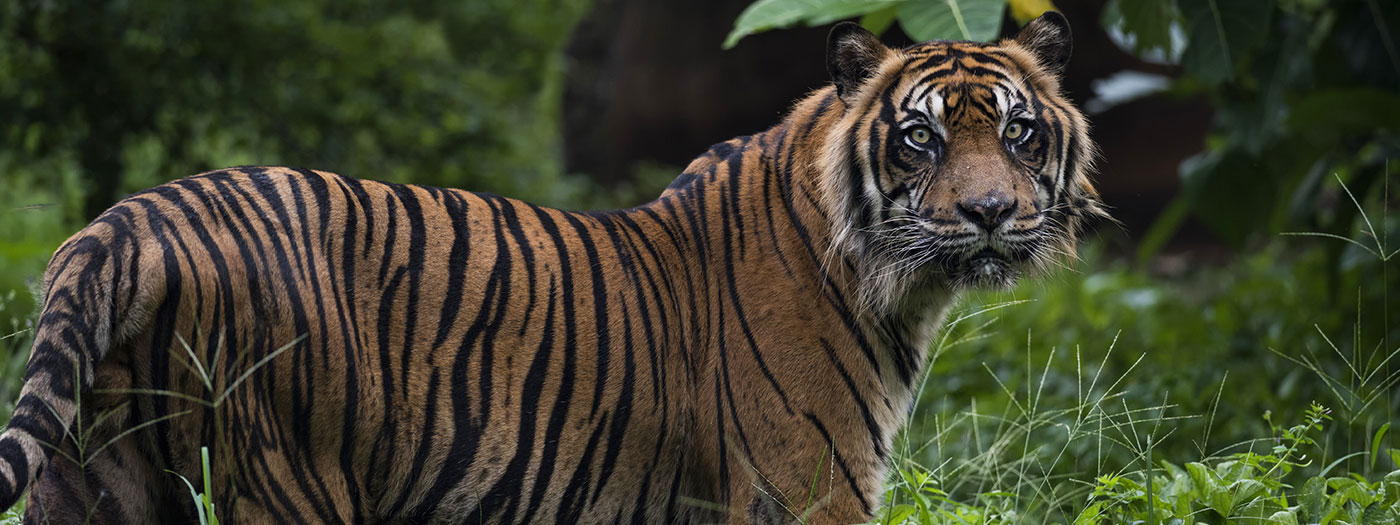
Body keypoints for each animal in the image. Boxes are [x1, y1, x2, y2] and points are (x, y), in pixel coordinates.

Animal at [0, 12, 1102, 524]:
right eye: (919, 139)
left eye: (1017, 132)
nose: (991, 214)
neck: (893, 285)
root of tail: (130, 219)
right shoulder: (809, 486)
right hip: (288, 474)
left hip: (96, 478)